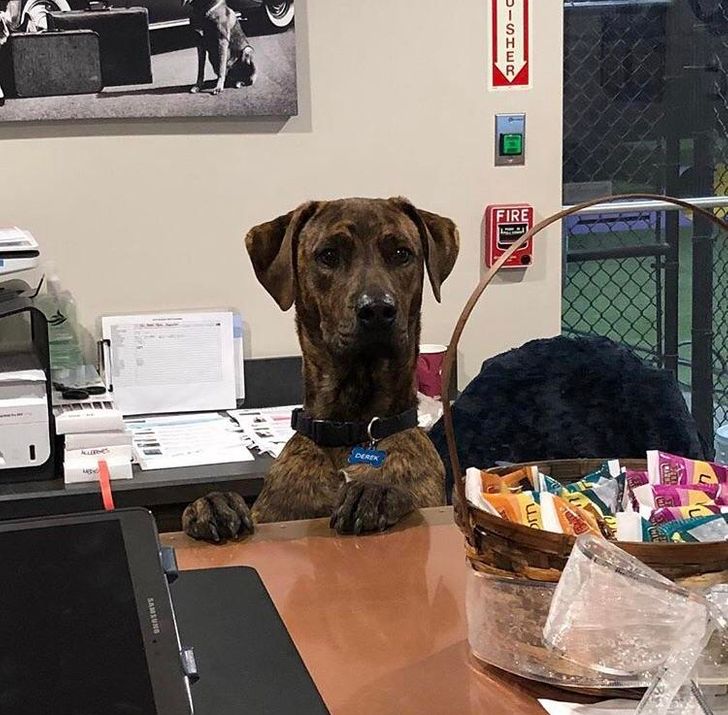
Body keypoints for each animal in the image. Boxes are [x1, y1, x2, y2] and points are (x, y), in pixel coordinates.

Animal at [182, 197, 460, 541]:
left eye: (401, 253)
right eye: (328, 254)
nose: (377, 309)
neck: (351, 430)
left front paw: (373, 491)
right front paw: (215, 503)